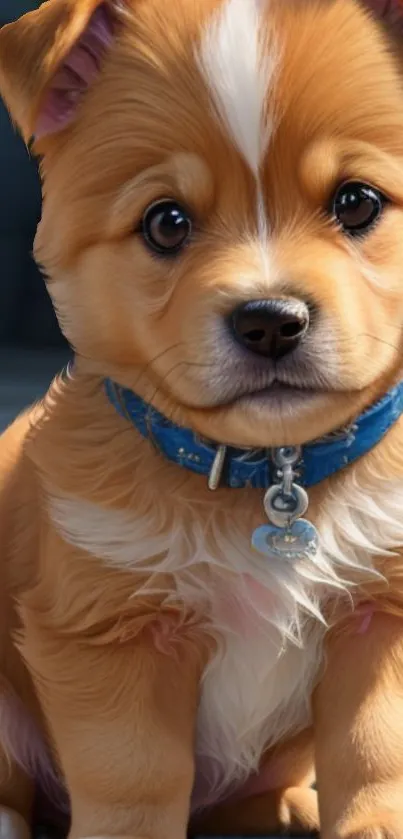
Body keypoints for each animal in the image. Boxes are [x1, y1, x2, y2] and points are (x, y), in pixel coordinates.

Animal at [0, 1, 403, 839]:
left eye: (355, 202)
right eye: (166, 223)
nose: (269, 320)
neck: (267, 475)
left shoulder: (378, 613)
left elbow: (372, 746)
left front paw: (375, 823)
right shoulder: (110, 636)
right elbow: (136, 777)